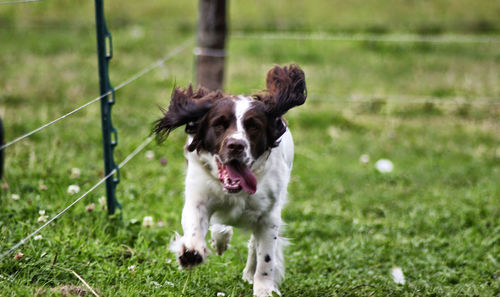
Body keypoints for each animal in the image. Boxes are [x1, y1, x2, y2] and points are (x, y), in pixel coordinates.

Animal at [154, 63, 306, 294]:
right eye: (219, 124)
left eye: (254, 126)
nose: (236, 145)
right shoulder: (198, 196)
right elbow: (195, 227)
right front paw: (191, 253)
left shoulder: (269, 216)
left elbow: (266, 258)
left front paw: (264, 289)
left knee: (253, 245)